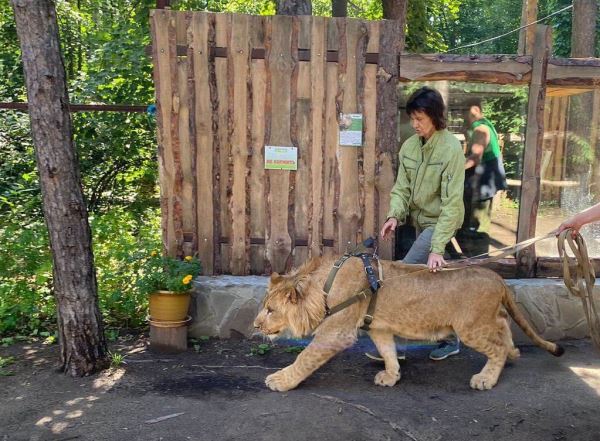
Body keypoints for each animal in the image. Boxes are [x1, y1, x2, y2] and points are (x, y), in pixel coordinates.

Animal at [253, 256, 564, 390]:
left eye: (270, 310)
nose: (255, 326)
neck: (323, 286)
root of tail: (497, 276)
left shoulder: (336, 333)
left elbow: (304, 358)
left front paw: (280, 380)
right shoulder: (378, 327)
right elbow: (388, 352)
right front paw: (391, 376)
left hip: (471, 327)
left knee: (496, 346)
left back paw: (486, 378)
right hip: (485, 320)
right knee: (502, 325)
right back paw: (513, 351)